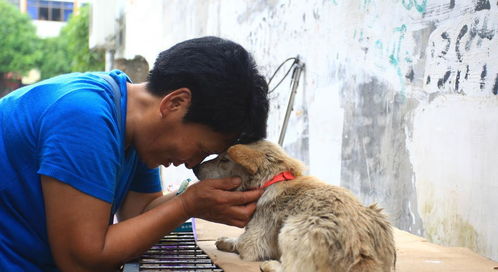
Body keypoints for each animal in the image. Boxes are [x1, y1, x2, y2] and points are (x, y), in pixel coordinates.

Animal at [193, 140, 394, 272]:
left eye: (224, 160)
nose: (194, 168)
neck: (272, 180)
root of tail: (361, 253)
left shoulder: (253, 242)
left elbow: (240, 242)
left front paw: (226, 241)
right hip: (378, 212)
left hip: (292, 228)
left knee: (294, 269)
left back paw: (270, 265)